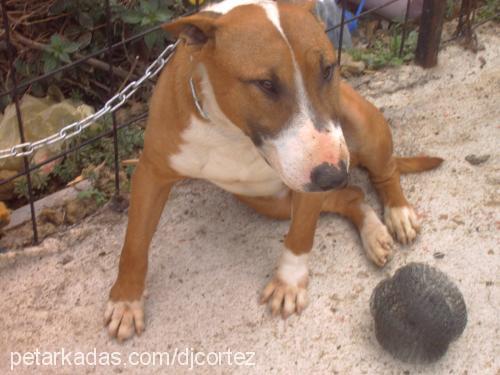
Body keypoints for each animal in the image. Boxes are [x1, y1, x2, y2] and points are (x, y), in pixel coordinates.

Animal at [104, 0, 442, 340]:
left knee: (384, 173)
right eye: (265, 84)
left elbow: (301, 234)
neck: (232, 132)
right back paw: (374, 233)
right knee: (352, 195)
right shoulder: (152, 172)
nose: (333, 175)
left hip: (360, 126)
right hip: (269, 202)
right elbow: (134, 244)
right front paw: (126, 302)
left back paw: (398, 214)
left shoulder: (311, 178)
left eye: (327, 70)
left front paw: (288, 284)